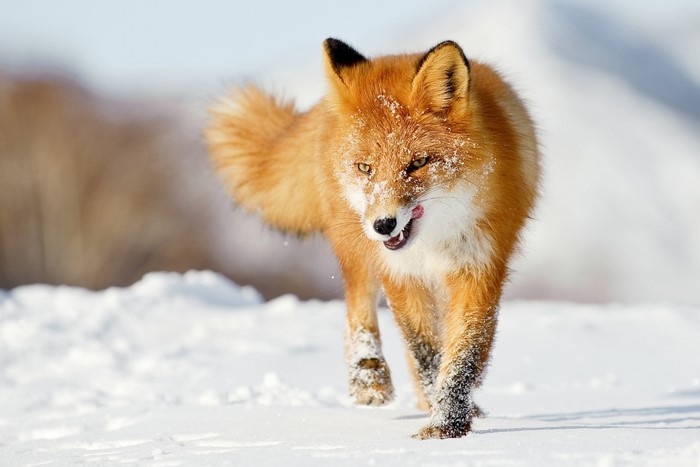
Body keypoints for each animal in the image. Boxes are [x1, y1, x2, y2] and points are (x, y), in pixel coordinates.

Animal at [205, 38, 540, 439]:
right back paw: (369, 378)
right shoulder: (400, 273)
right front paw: (442, 419)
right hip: (356, 248)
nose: (384, 224)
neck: (433, 243)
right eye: (365, 167)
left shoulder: (479, 267)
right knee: (357, 308)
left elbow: (462, 354)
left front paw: (446, 423)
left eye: (417, 163)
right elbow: (425, 352)